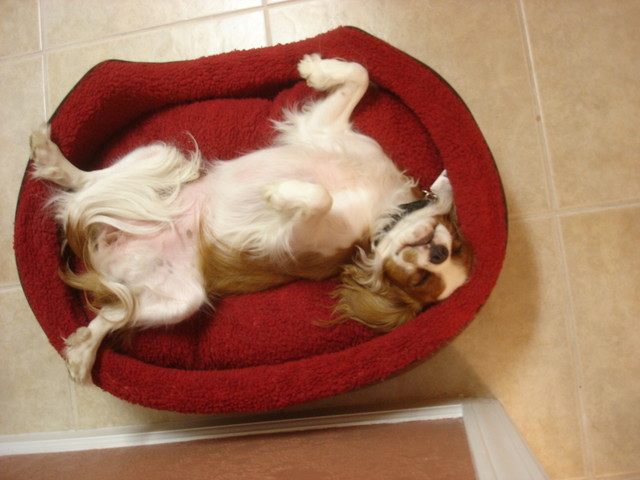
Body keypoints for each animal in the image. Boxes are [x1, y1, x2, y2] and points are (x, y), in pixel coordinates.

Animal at [30, 55, 472, 382]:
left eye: (421, 280)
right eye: (452, 241)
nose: (435, 251)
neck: (383, 210)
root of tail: (107, 253)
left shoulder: (298, 243)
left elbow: (320, 197)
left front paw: (280, 194)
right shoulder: (322, 129)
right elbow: (360, 75)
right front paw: (316, 68)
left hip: (182, 300)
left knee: (112, 312)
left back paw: (84, 350)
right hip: (160, 153)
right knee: (88, 182)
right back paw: (54, 161)